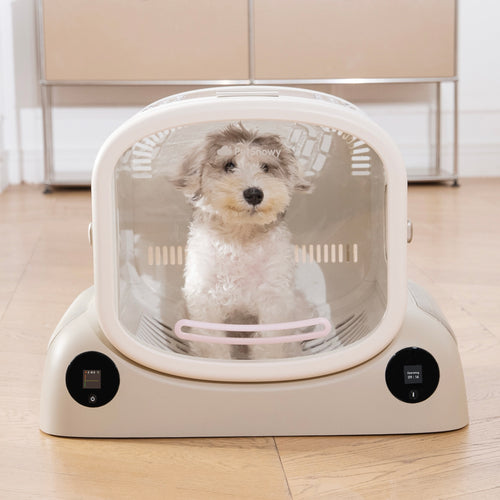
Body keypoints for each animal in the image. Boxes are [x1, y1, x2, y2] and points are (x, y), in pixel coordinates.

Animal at [172, 124, 312, 360]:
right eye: (229, 165)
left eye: (266, 167)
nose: (254, 193)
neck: (241, 238)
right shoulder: (204, 299)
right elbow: (213, 345)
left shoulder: (273, 299)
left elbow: (267, 345)